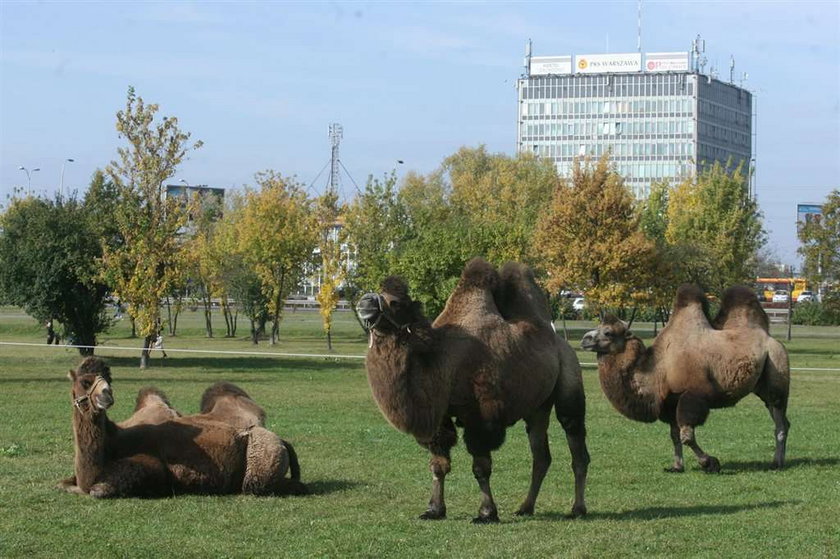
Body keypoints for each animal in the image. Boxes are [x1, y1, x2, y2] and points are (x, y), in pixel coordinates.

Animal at [580, 284, 792, 472]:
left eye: (608, 332)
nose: (584, 339)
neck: (658, 369)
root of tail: (770, 338)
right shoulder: (670, 402)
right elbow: (675, 436)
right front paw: (677, 466)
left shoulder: (692, 395)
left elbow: (686, 436)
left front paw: (710, 463)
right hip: (762, 386)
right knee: (782, 420)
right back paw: (779, 460)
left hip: (777, 367)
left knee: (780, 420)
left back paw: (777, 463)